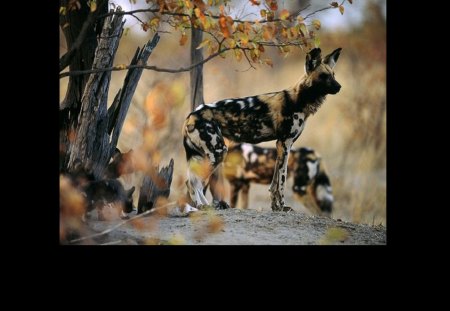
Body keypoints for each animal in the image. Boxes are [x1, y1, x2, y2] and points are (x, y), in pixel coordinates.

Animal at [183, 47, 342, 212]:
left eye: (333, 75)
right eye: (323, 76)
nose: (339, 87)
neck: (299, 99)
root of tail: (191, 115)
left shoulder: (281, 145)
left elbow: (274, 183)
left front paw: (275, 207)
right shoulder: (286, 143)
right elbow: (282, 181)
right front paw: (282, 206)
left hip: (206, 155)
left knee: (195, 182)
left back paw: (205, 206)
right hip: (218, 152)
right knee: (192, 182)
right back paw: (201, 205)